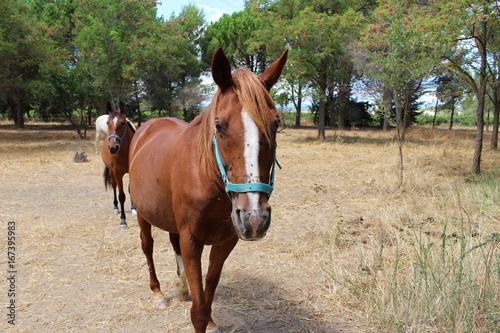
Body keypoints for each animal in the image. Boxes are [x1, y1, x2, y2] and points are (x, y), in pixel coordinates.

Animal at [100, 102, 136, 230]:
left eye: (123, 122)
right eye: (107, 123)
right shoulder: (117, 172)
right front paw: (123, 221)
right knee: (114, 186)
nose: (112, 148)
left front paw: (134, 209)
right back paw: (116, 208)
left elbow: (131, 189)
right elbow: (121, 195)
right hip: (111, 171)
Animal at [127, 47, 288, 332]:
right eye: (219, 126)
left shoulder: (226, 241)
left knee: (172, 243)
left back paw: (181, 289)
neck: (209, 182)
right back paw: (158, 293)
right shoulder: (192, 241)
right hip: (144, 216)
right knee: (148, 246)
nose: (254, 218)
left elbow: (209, 287)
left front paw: (211, 319)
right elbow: (199, 310)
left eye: (275, 124)